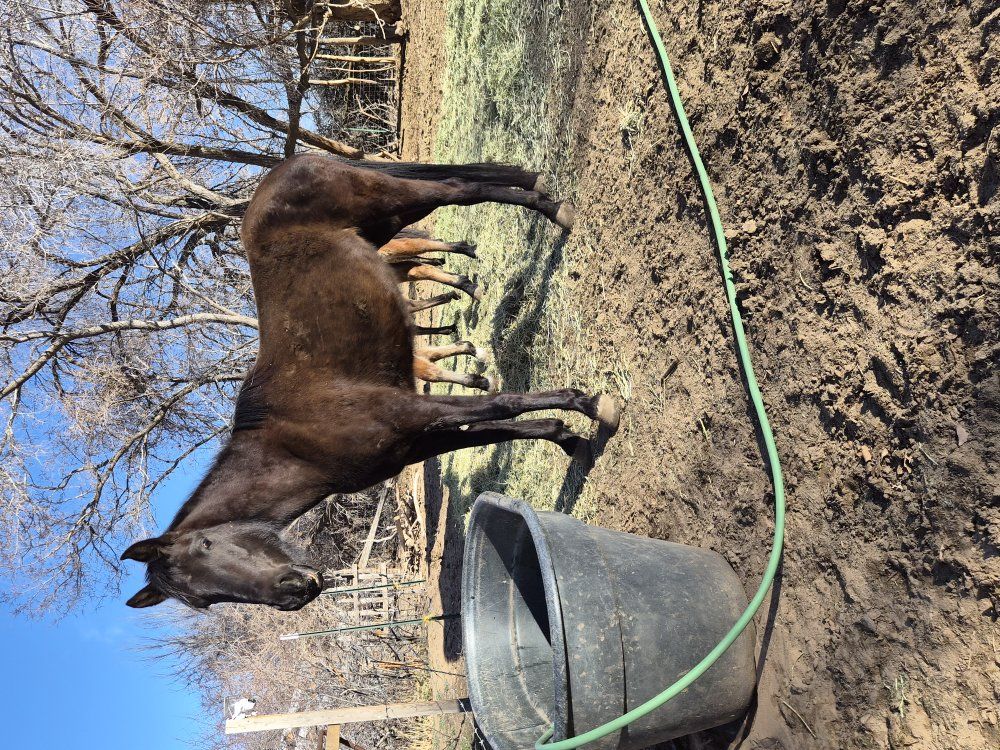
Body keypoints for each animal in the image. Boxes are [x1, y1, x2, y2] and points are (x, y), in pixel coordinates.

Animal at [120, 154, 619, 611]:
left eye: (206, 546)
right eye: (205, 600)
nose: (293, 592)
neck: (298, 440)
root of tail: (283, 169)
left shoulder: (410, 410)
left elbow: (502, 404)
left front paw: (594, 406)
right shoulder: (418, 441)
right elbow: (498, 429)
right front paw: (567, 439)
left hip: (390, 201)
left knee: (460, 189)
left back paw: (555, 212)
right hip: (389, 220)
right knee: (466, 178)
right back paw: (536, 188)